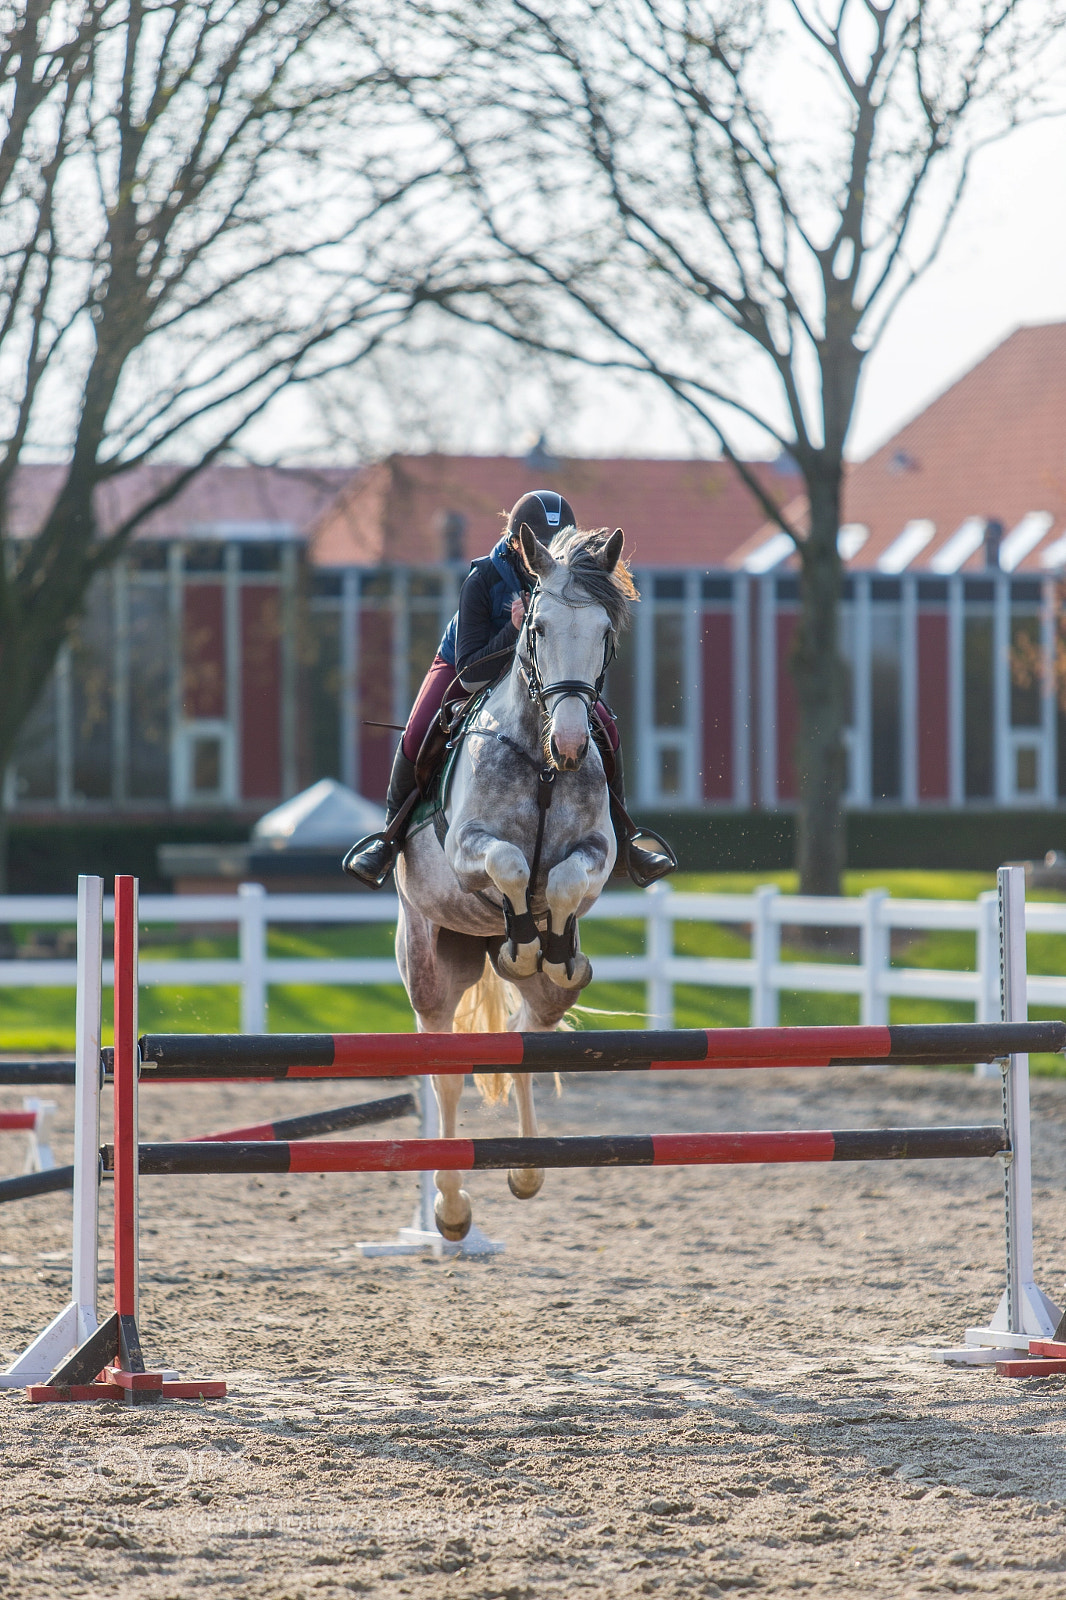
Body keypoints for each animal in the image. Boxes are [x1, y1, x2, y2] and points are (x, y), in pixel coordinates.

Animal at [395, 522, 637, 1241]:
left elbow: (561, 882)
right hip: (429, 961)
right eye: (538, 628)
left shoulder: (597, 853)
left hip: (547, 994)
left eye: (605, 633)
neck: (541, 759)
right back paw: (449, 1208)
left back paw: (527, 1170)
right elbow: (508, 865)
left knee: (530, 1038)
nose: (574, 743)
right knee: (446, 1075)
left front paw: (544, 944)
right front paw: (524, 937)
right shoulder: (466, 848)